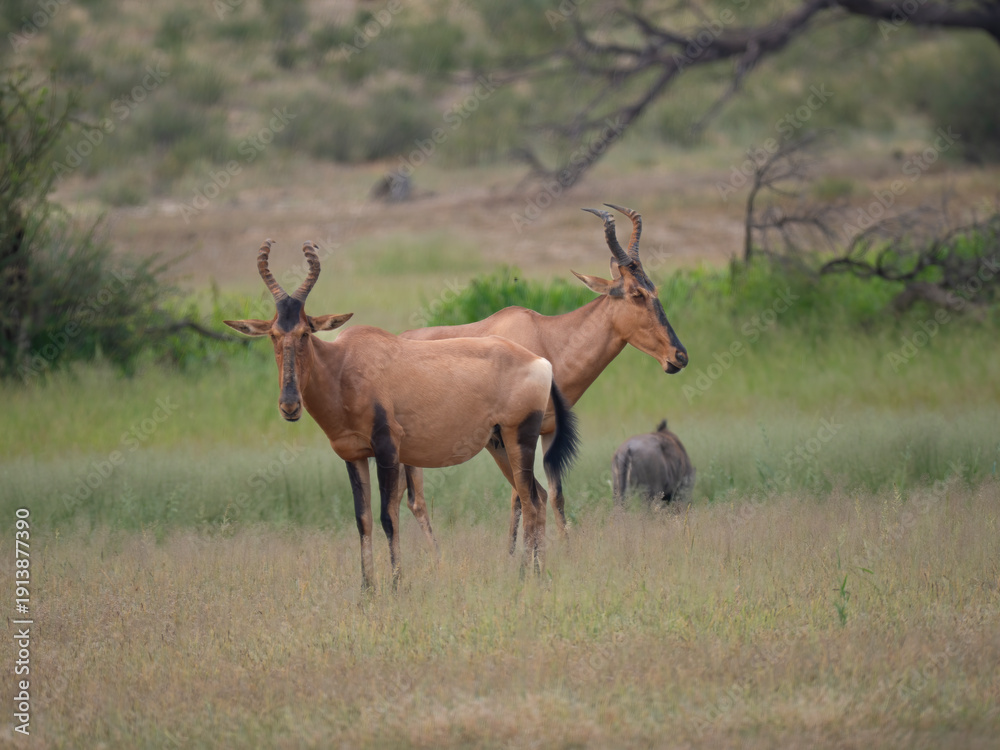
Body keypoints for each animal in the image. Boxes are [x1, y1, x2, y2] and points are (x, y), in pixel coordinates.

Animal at [223, 240, 579, 589]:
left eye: (305, 332)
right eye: (273, 333)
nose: (289, 405)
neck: (345, 365)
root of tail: (540, 362)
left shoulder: (387, 449)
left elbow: (388, 517)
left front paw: (395, 584)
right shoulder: (354, 456)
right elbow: (363, 519)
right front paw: (367, 588)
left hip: (520, 437)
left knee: (531, 501)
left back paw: (527, 576)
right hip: (499, 444)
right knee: (538, 496)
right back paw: (534, 573)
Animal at [398, 204, 688, 554]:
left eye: (654, 288)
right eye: (636, 293)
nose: (679, 356)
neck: (547, 339)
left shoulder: (548, 432)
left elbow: (553, 495)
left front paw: (563, 550)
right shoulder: (514, 433)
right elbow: (521, 496)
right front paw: (514, 554)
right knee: (416, 500)